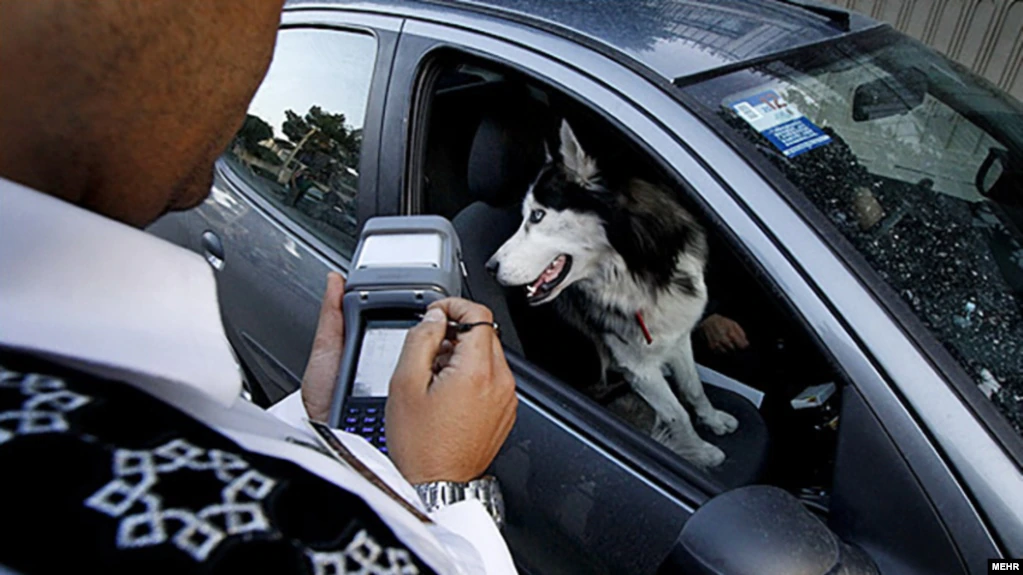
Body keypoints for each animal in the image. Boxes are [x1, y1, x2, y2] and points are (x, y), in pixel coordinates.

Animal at [486, 120, 736, 466]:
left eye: (536, 215)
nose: (490, 267)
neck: (638, 272)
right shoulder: (636, 367)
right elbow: (677, 414)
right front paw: (700, 452)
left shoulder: (677, 336)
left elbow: (694, 387)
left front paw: (712, 420)